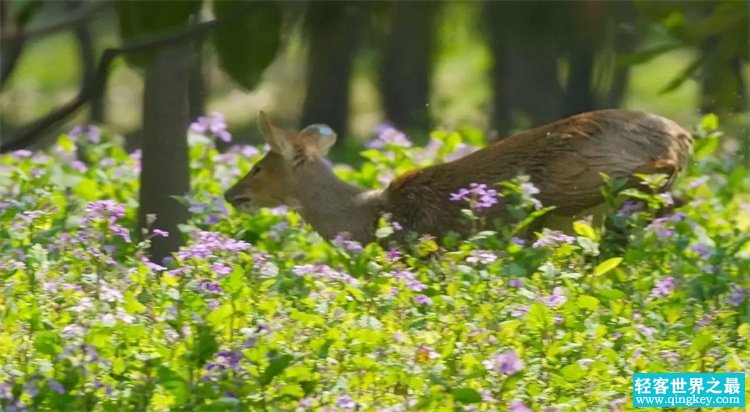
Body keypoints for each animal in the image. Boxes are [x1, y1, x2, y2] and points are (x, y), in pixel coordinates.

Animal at [226, 110, 696, 245]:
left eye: (257, 166)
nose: (231, 194)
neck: (366, 218)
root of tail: (681, 135)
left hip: (574, 179)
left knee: (655, 182)